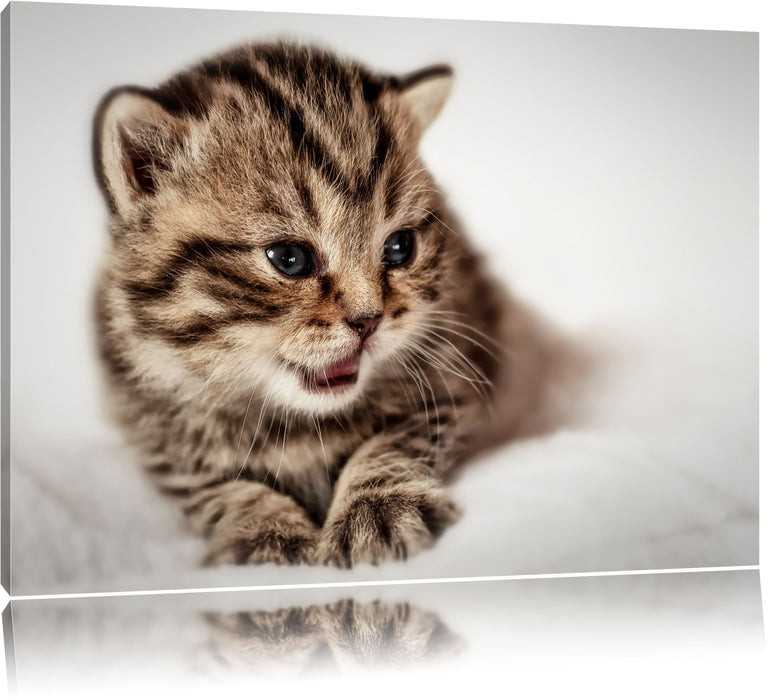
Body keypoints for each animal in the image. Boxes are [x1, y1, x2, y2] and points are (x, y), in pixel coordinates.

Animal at [94, 39, 560, 568]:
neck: (297, 422)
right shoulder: (152, 433)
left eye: (399, 247)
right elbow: (212, 486)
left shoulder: (452, 375)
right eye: (289, 258)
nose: (369, 321)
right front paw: (264, 530)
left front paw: (378, 504)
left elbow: (397, 440)